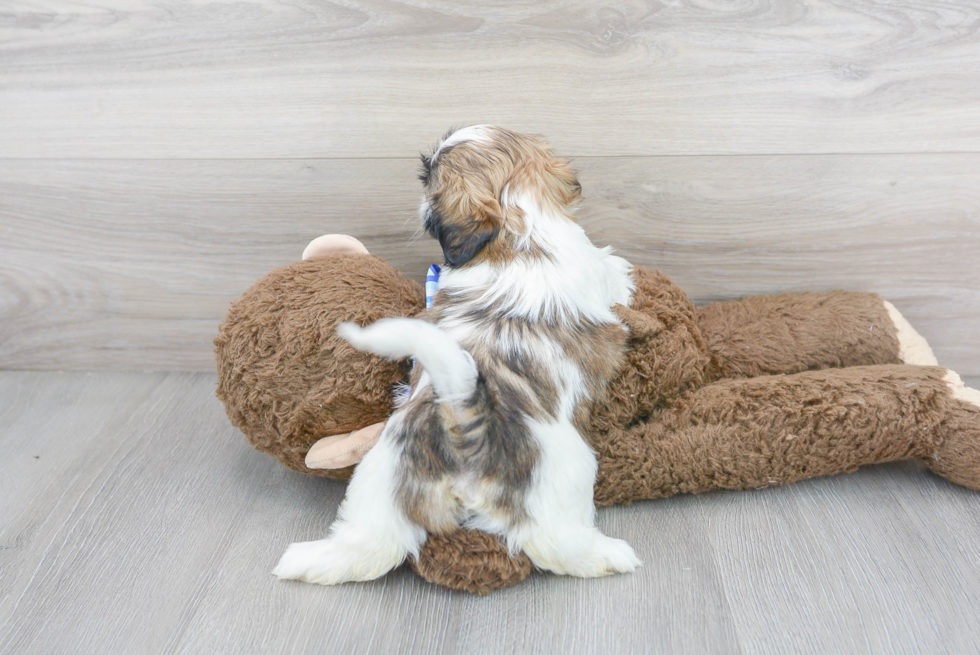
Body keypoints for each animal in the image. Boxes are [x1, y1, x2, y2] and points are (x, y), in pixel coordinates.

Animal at [276, 127, 644, 584]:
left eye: (427, 178)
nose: (420, 203)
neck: (517, 231)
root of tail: (464, 424)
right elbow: (614, 270)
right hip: (565, 470)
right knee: (554, 543)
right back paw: (608, 555)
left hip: (381, 475)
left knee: (371, 545)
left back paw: (305, 560)